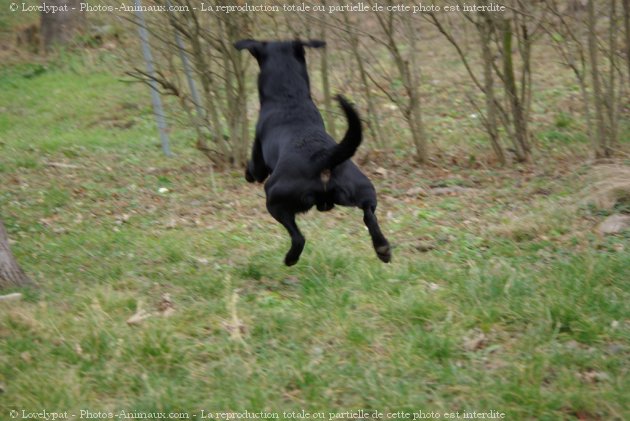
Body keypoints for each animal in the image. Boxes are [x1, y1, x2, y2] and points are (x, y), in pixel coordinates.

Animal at [235, 37, 392, 264]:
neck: (288, 96)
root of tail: (323, 159)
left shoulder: (259, 160)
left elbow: (254, 168)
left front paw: (246, 173)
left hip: (274, 198)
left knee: (298, 237)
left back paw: (290, 258)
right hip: (363, 188)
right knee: (369, 215)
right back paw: (382, 248)